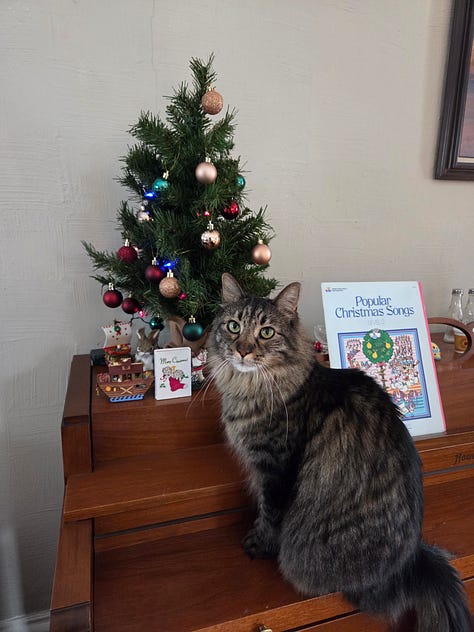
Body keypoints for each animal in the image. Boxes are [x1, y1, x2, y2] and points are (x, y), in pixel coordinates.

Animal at [207, 273, 472, 632]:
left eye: (266, 332)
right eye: (234, 327)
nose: (243, 350)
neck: (251, 388)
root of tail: (411, 564)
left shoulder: (275, 469)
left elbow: (269, 514)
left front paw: (257, 545)